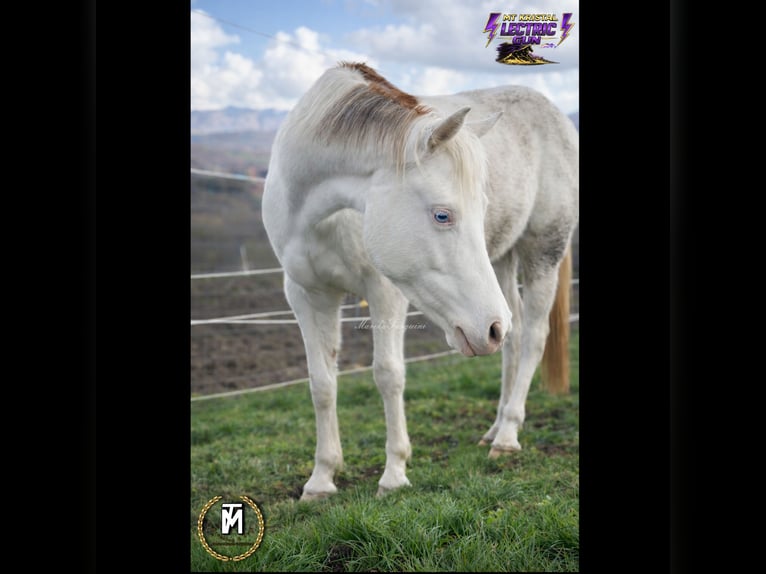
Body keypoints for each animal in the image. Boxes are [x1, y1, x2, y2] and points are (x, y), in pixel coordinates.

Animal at [262, 62, 578, 501]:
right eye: (443, 215)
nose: (488, 329)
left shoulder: (385, 293)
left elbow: (388, 374)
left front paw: (394, 473)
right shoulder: (306, 295)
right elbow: (321, 384)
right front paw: (321, 479)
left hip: (543, 250)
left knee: (532, 336)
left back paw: (508, 436)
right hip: (501, 263)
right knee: (513, 338)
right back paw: (495, 427)